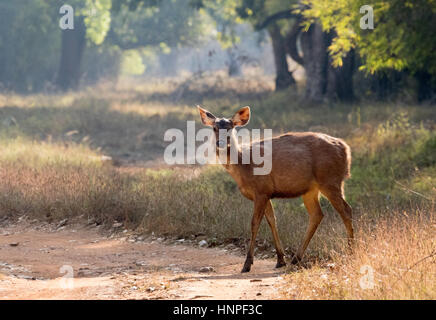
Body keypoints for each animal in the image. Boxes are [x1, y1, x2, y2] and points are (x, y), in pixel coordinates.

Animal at [198, 105, 354, 272]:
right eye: (214, 128)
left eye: (230, 127)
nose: (220, 143)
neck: (243, 165)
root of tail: (346, 149)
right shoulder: (266, 192)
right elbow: (272, 220)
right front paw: (280, 259)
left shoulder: (260, 190)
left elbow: (254, 223)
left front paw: (247, 264)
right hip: (311, 189)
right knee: (317, 214)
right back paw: (296, 258)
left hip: (330, 180)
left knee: (346, 210)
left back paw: (351, 251)